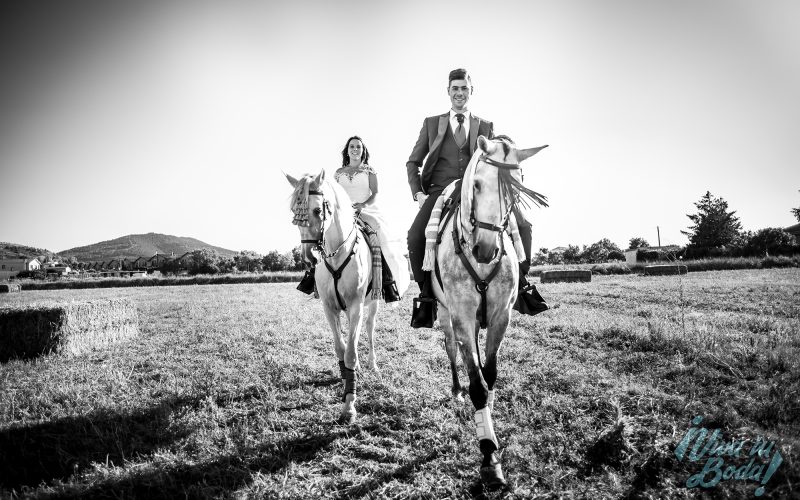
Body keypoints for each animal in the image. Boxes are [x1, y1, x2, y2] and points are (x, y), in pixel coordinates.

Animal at [284, 170, 378, 424]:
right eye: (294, 212)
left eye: (318, 210)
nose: (309, 258)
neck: (337, 253)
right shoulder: (329, 307)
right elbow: (340, 348)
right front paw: (345, 382)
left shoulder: (356, 306)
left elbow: (351, 353)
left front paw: (350, 406)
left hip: (372, 303)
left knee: (369, 328)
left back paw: (372, 364)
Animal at [432, 136, 552, 488]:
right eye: (476, 184)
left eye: (518, 186)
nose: (485, 250)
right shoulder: (461, 315)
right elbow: (477, 385)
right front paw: (488, 456)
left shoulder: (501, 317)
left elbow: (490, 374)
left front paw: (490, 428)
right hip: (445, 314)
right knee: (451, 349)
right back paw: (457, 391)